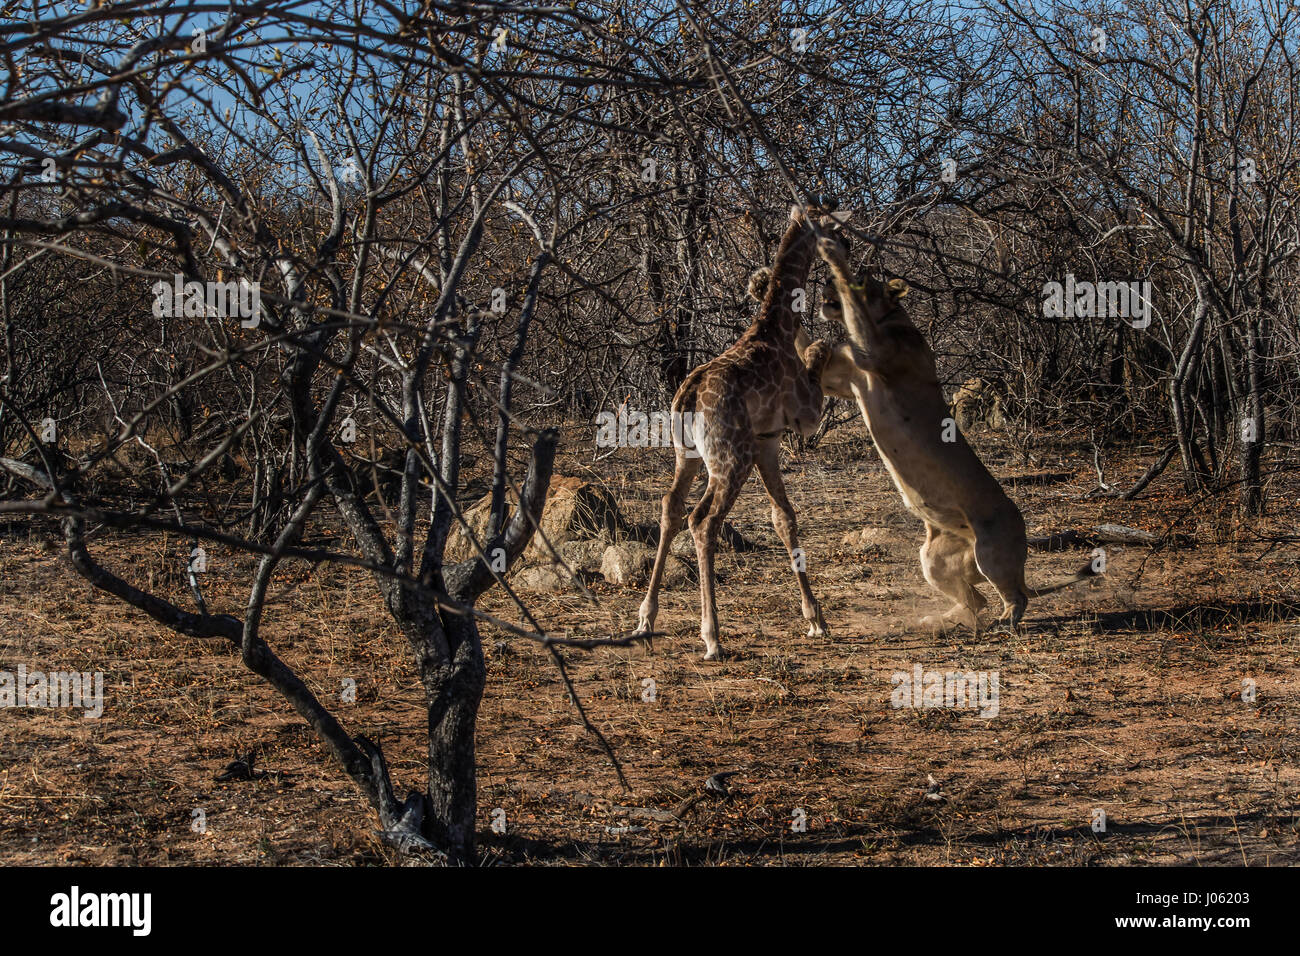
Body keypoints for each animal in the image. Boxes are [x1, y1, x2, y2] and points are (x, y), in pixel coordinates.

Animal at [636, 204, 845, 660]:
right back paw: (712, 635)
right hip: (732, 458)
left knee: (670, 507)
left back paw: (645, 618)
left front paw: (815, 618)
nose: (845, 248)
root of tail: (689, 395)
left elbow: (783, 518)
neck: (773, 328)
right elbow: (819, 346)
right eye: (837, 232)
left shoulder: (768, 443)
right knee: (702, 521)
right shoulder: (806, 415)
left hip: (688, 455)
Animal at [789, 234, 1097, 632]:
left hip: (991, 551)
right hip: (933, 558)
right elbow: (803, 345)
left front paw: (831, 256)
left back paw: (1004, 621)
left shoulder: (874, 353)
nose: (824, 283)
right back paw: (942, 618)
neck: (889, 317)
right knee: (976, 598)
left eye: (861, 279)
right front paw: (766, 285)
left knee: (1015, 595)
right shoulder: (838, 379)